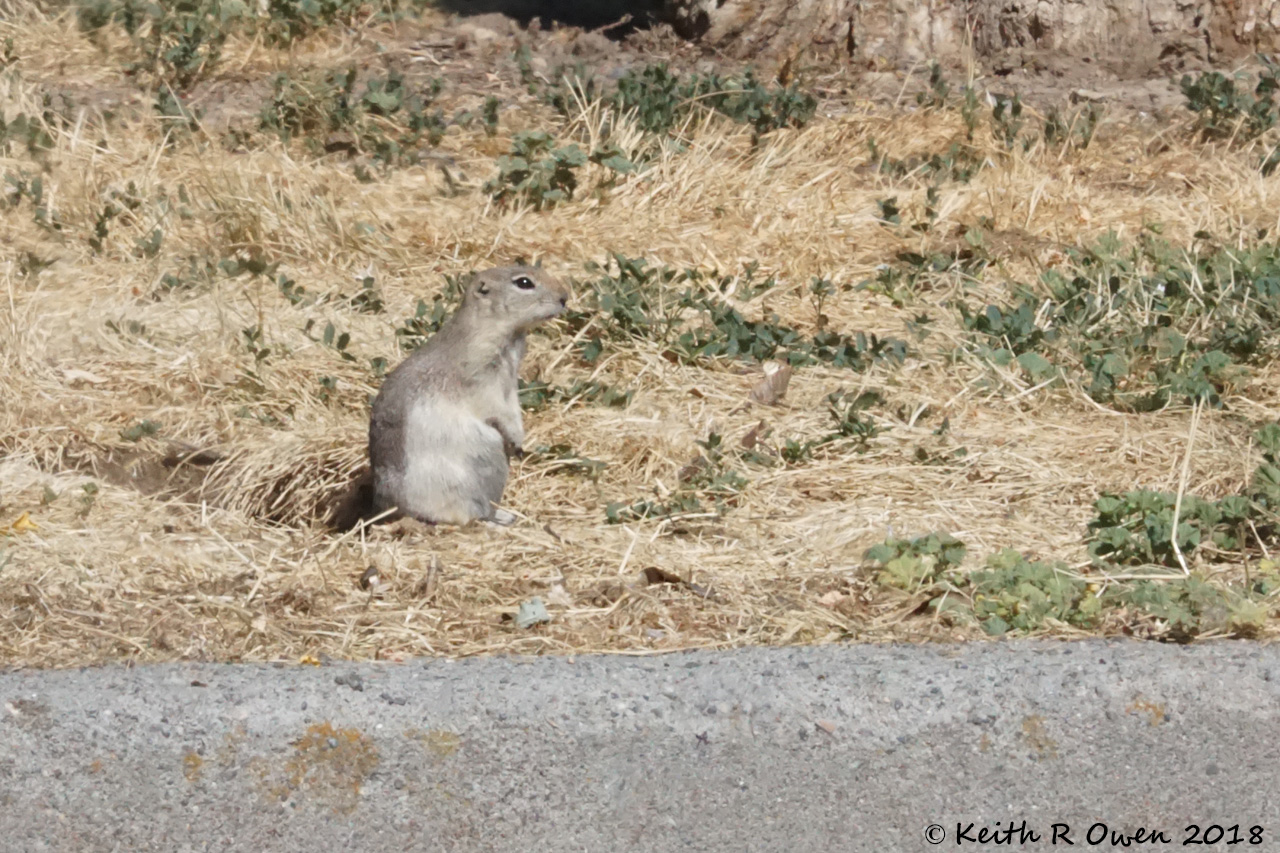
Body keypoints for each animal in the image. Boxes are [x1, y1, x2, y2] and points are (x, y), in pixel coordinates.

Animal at [330, 265, 570, 531]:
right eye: (524, 283)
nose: (564, 297)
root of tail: (386, 509)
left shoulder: (509, 382)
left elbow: (513, 406)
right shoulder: (480, 377)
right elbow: (497, 409)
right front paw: (517, 440)